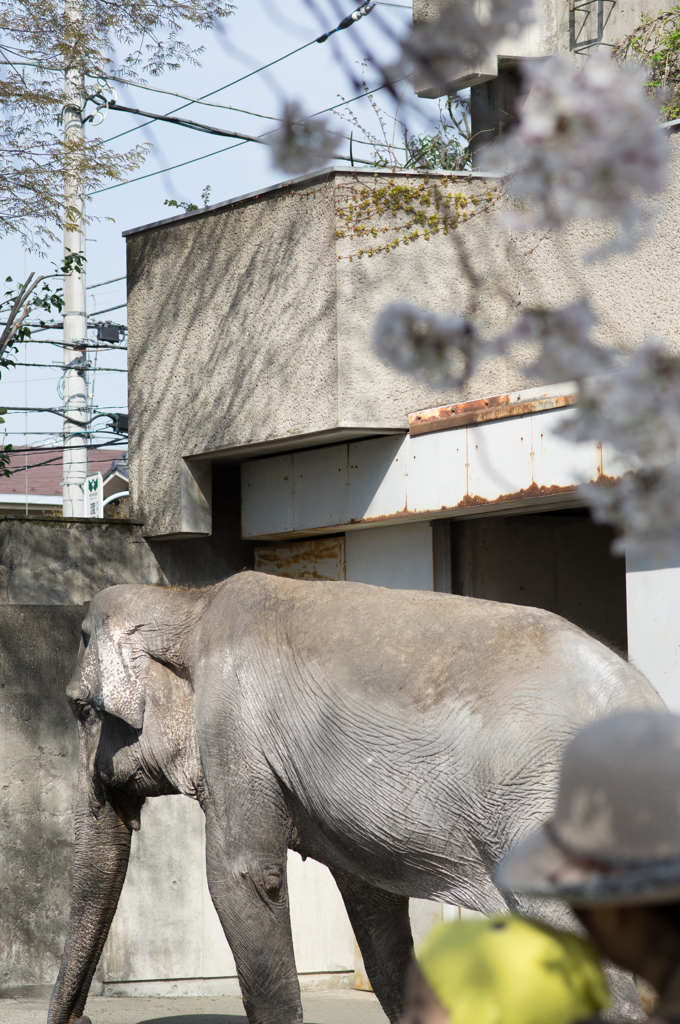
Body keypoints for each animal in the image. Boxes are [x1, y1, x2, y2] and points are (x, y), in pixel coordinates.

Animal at [47, 573, 663, 1024]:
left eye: (80, 708)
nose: (85, 1019)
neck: (186, 601)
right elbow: (372, 904)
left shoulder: (232, 728)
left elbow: (243, 878)